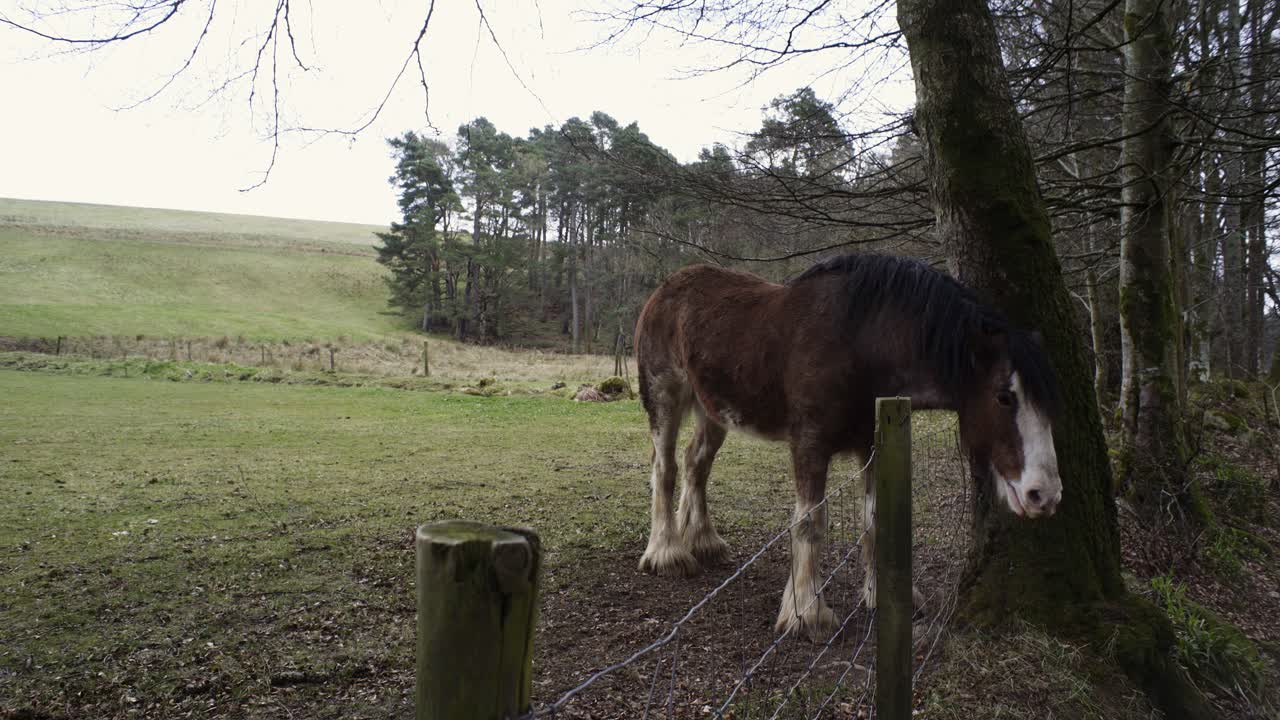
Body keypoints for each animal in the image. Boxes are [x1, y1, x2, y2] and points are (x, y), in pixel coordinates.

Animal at [634, 253, 1062, 640]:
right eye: (1004, 397)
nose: (1044, 495)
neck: (859, 343)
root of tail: (664, 289)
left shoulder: (871, 443)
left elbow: (873, 517)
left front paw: (882, 596)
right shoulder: (810, 444)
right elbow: (810, 522)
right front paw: (807, 613)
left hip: (713, 412)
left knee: (696, 464)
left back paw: (704, 542)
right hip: (665, 397)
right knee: (666, 469)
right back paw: (667, 553)